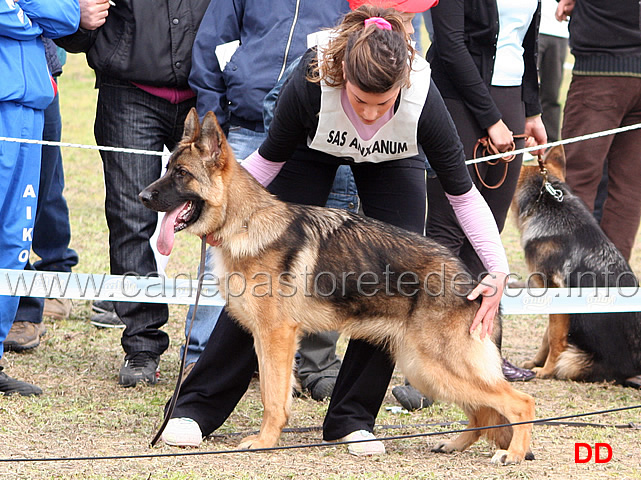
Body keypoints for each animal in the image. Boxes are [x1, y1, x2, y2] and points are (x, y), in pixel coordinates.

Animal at [140, 109, 536, 464]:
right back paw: (454, 444)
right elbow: (273, 392)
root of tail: (470, 279)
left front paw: (265, 441)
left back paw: (513, 454)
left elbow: (272, 396)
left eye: (181, 174)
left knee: (518, 402)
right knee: (483, 412)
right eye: (166, 169)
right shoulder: (266, 338)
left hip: (437, 365)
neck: (245, 222)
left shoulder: (276, 336)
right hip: (424, 369)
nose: (143, 196)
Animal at [510, 146, 640, 386]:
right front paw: (536, 363)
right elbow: (547, 335)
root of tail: (633, 372)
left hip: (573, 360)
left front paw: (546, 370)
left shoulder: (555, 292)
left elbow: (554, 337)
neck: (546, 205)